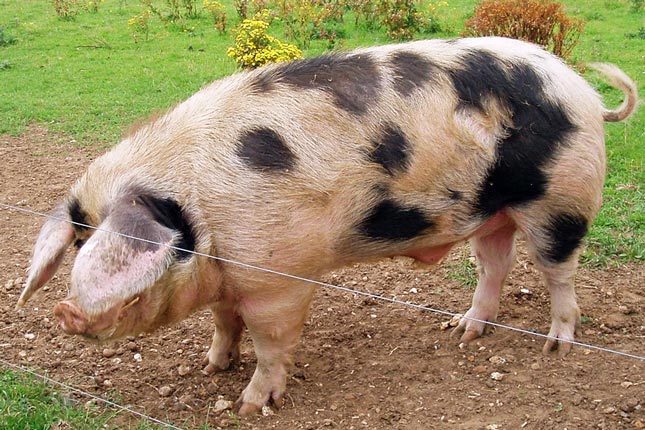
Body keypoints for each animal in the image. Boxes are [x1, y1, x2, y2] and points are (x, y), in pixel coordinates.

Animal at [17, 37, 637, 415]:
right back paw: (461, 331)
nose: (65, 310)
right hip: (491, 212)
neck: (205, 215)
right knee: (495, 264)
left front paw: (249, 404)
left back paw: (557, 346)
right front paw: (212, 365)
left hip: (561, 197)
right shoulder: (231, 278)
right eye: (80, 238)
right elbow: (223, 322)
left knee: (559, 271)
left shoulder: (278, 279)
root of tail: (584, 92)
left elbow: (270, 343)